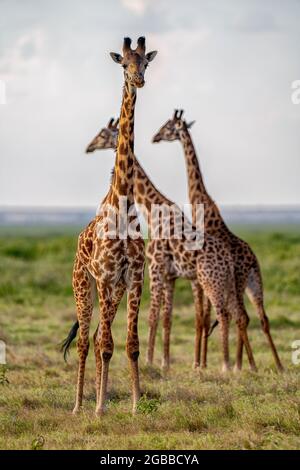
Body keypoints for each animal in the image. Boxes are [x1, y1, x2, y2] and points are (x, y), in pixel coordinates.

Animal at [61, 35, 158, 414]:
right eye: (124, 64)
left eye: (145, 62)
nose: (139, 80)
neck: (123, 202)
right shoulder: (104, 277)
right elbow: (104, 345)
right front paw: (100, 408)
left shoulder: (133, 278)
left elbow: (130, 345)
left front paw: (135, 404)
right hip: (83, 285)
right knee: (88, 341)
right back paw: (79, 406)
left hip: (112, 292)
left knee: (99, 336)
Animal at [85, 118, 258, 374]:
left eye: (102, 134)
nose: (89, 147)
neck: (153, 210)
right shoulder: (172, 276)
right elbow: (168, 317)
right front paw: (166, 361)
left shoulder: (156, 269)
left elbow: (153, 316)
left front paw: (150, 360)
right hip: (232, 282)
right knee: (241, 315)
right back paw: (245, 365)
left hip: (214, 282)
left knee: (225, 314)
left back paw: (228, 365)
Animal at [152, 109, 284, 370]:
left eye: (168, 126)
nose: (155, 137)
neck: (201, 204)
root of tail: (252, 260)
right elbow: (208, 316)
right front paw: (204, 363)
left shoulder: (202, 273)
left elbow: (204, 316)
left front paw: (201, 364)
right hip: (254, 282)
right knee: (260, 318)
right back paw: (275, 365)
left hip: (238, 281)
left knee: (240, 316)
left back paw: (243, 365)